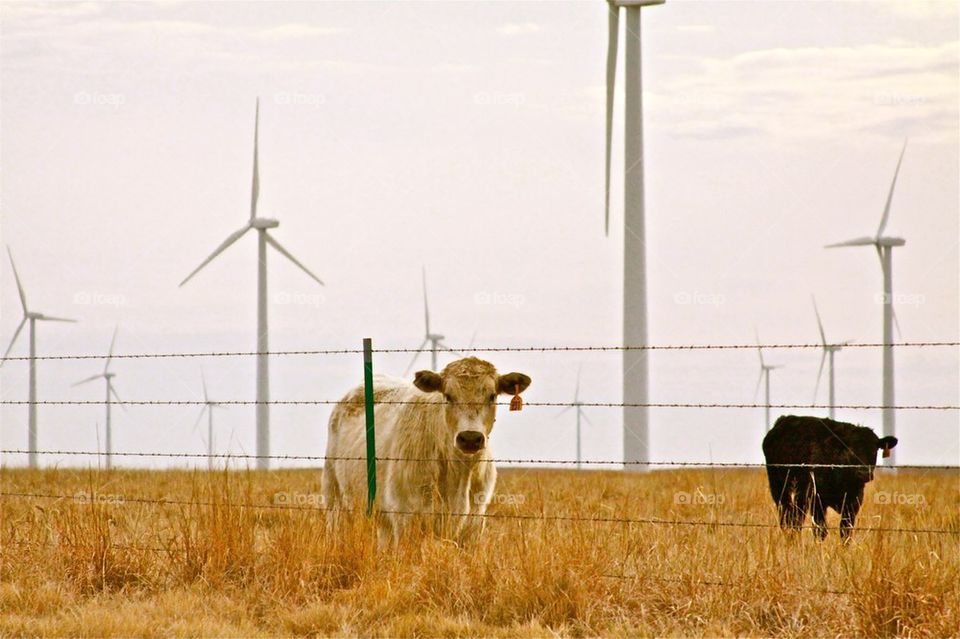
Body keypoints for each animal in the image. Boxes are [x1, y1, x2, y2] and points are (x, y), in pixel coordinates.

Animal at [322, 357, 531, 544]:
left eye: (492, 396)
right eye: (448, 396)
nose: (470, 438)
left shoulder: (475, 524)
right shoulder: (405, 519)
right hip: (335, 500)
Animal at [762, 415, 898, 540]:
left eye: (874, 451)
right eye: (850, 450)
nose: (863, 473)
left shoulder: (853, 502)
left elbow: (845, 531)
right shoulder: (817, 500)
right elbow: (821, 531)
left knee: (795, 517)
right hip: (779, 488)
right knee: (786, 517)